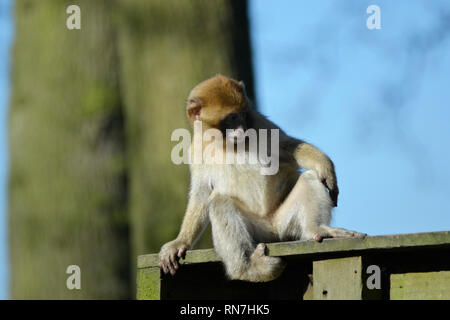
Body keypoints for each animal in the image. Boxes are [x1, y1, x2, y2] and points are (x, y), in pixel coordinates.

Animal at [158, 75, 366, 282]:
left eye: (242, 115)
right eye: (231, 118)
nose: (241, 129)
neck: (225, 143)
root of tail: (271, 228)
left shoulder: (258, 122)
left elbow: (286, 147)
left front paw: (324, 164)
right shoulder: (196, 150)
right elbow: (202, 193)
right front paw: (181, 242)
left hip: (282, 225)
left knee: (308, 178)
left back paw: (316, 230)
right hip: (259, 232)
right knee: (220, 202)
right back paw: (246, 268)